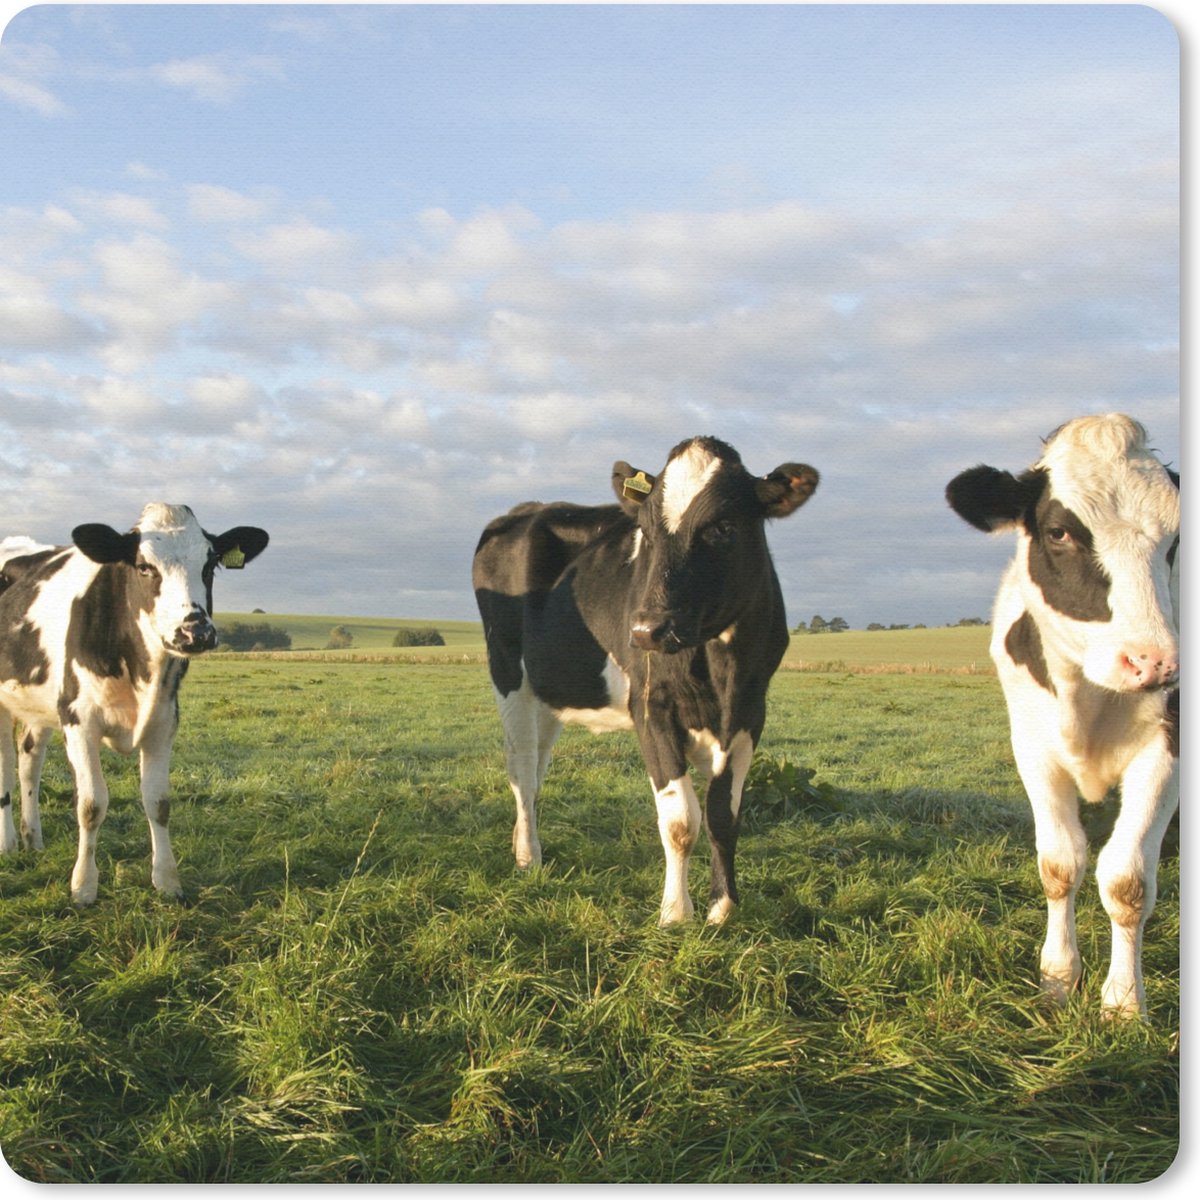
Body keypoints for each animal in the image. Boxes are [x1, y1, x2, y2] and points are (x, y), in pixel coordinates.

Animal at [0, 503, 269, 905]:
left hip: (40, 704)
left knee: (29, 762)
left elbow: (159, 802)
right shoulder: (78, 720)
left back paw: (33, 838)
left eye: (210, 565)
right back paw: (8, 843)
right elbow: (91, 804)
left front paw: (167, 880)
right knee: (4, 768)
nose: (195, 631)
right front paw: (83, 886)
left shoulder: (164, 721)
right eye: (144, 567)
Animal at [473, 436, 819, 926]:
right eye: (648, 533)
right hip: (507, 672)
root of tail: (526, 510)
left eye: (724, 526)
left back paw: (522, 842)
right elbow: (681, 820)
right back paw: (528, 857)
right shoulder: (652, 706)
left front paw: (723, 908)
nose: (646, 630)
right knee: (521, 770)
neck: (719, 672)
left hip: (550, 692)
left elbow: (723, 814)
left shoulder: (751, 711)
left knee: (536, 772)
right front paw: (675, 913)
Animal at [946, 414, 1179, 1018]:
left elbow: (1126, 880)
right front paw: (1057, 977)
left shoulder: (1168, 754)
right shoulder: (1033, 750)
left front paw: (1124, 1003)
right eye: (1059, 532)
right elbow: (1060, 864)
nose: (1153, 662)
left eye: (1176, 541)